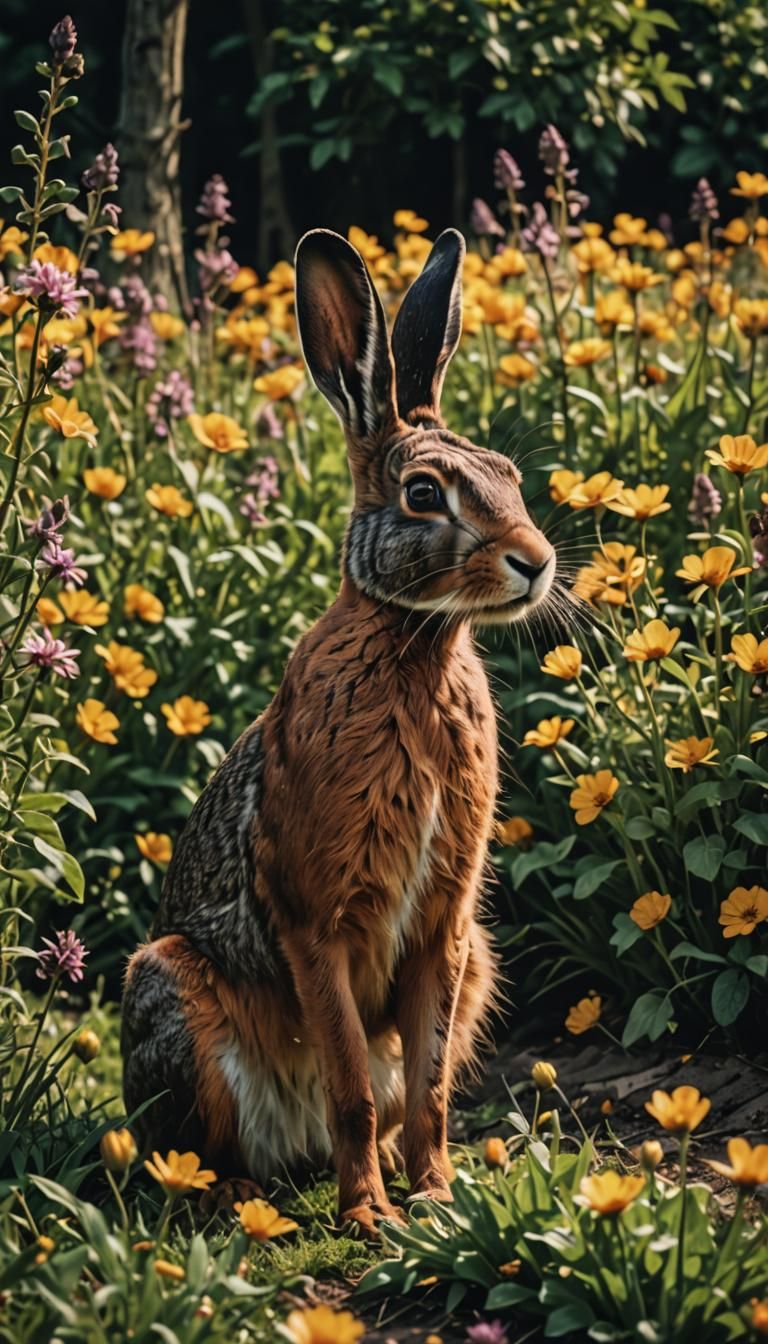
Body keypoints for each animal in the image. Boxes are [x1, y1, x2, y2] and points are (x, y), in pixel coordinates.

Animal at [121, 226, 556, 1236]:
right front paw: (371, 1219)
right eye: (425, 494)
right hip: (170, 997)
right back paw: (245, 1195)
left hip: (479, 964)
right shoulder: (317, 921)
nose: (537, 562)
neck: (415, 644)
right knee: (202, 1151)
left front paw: (434, 1198)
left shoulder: (444, 926)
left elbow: (427, 1086)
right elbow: (352, 1085)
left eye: (510, 478)